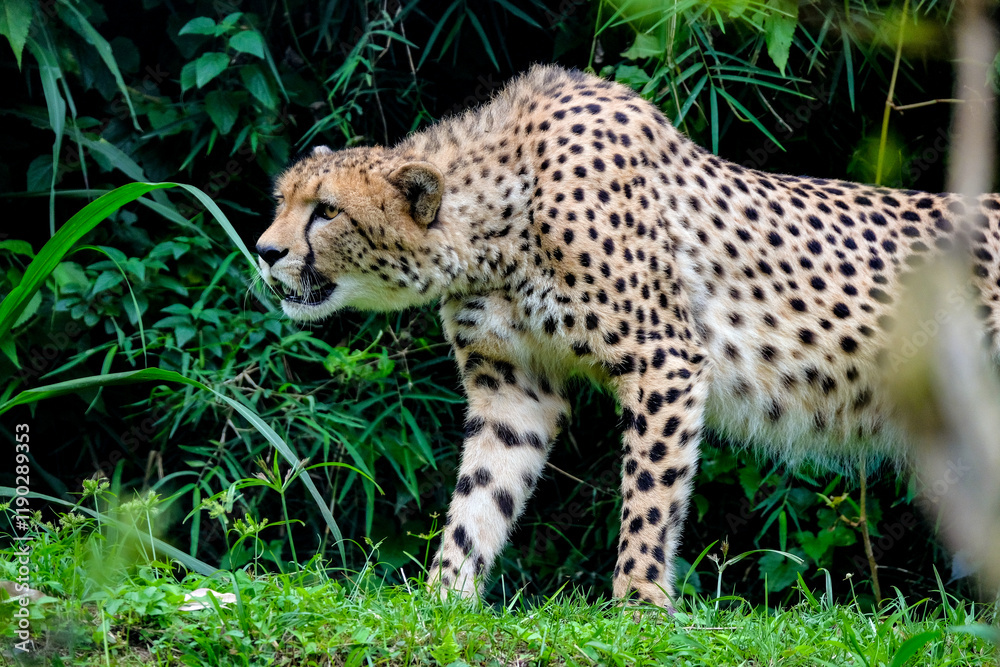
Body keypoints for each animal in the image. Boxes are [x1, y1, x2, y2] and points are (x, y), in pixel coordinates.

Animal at [255, 64, 1000, 608]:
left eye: (326, 212)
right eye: (281, 200)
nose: (263, 251)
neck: (498, 222)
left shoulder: (666, 362)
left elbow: (650, 497)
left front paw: (640, 605)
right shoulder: (513, 392)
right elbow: (481, 497)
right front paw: (442, 598)